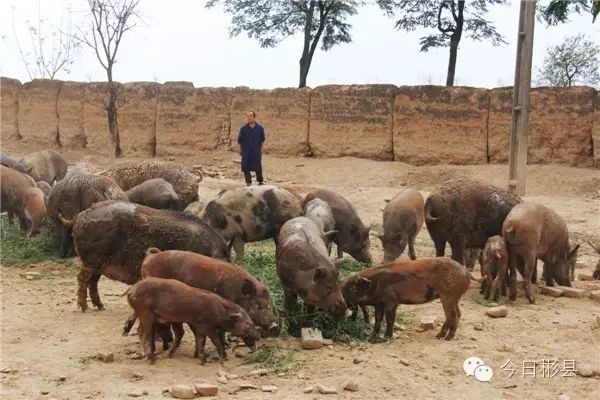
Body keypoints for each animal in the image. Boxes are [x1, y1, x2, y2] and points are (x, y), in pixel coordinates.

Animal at [65, 200, 230, 312]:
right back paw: (84, 308)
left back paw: (101, 307)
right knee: (82, 279)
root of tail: (79, 216)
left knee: (93, 282)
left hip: (99, 264)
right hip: (92, 260)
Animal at [124, 248, 278, 336]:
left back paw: (125, 331)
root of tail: (150, 257)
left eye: (271, 303)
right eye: (259, 304)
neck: (237, 293)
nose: (274, 325)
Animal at [124, 276, 258, 364]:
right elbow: (210, 340)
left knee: (140, 330)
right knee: (144, 332)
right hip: (144, 312)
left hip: (143, 313)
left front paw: (200, 357)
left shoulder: (197, 324)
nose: (257, 336)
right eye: (248, 324)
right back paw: (152, 358)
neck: (220, 312)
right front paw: (209, 360)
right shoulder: (206, 325)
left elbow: (204, 340)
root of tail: (131, 289)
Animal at [340, 258, 476, 340]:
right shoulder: (379, 304)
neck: (375, 285)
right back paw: (445, 337)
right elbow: (378, 319)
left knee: (452, 315)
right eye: (343, 289)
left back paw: (442, 337)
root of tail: (467, 272)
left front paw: (387, 338)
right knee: (458, 313)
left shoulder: (392, 301)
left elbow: (390, 320)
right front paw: (373, 336)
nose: (343, 304)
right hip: (454, 298)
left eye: (352, 289)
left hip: (448, 296)